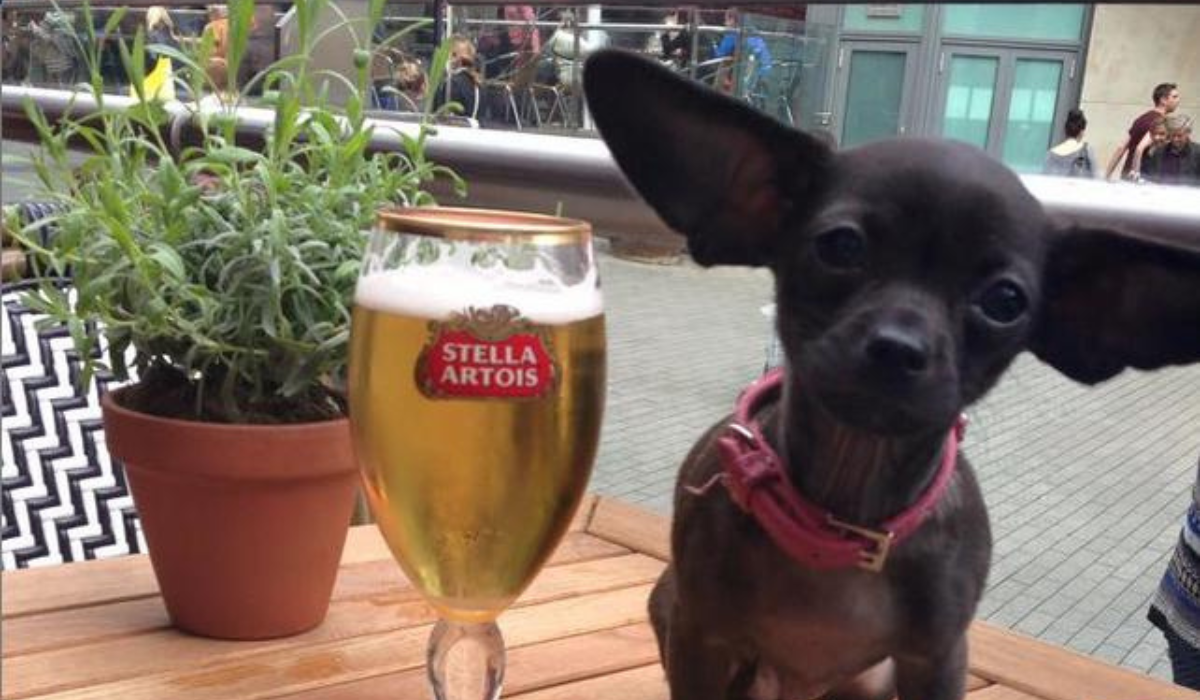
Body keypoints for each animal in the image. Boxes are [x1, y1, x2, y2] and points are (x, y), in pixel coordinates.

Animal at [583, 51, 1200, 700]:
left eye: (1005, 302)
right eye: (841, 247)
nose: (899, 348)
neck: (841, 524)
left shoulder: (938, 658)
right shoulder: (700, 636)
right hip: (673, 605)